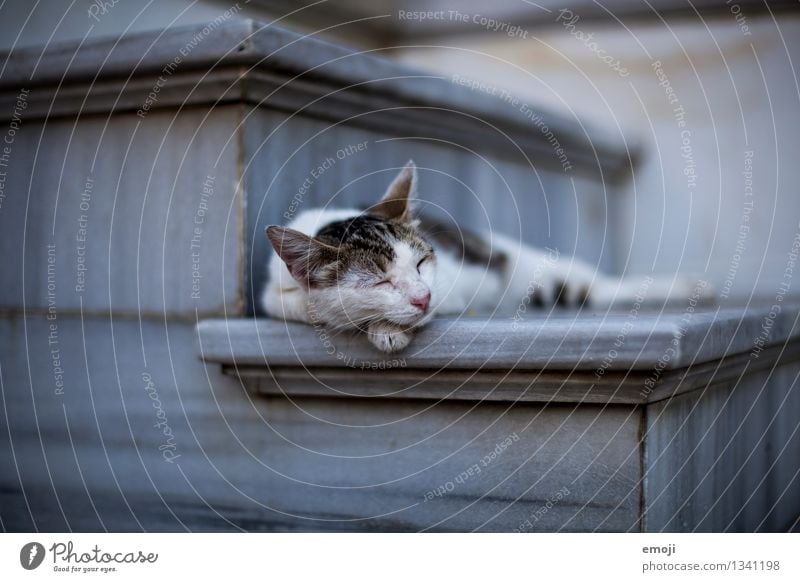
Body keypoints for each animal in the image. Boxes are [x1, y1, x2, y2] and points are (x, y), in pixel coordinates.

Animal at [264, 162, 712, 354]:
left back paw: (682, 286)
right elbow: (303, 306)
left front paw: (386, 330)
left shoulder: (452, 281)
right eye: (380, 281)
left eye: (421, 264)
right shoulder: (274, 292)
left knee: (594, 285)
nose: (422, 297)